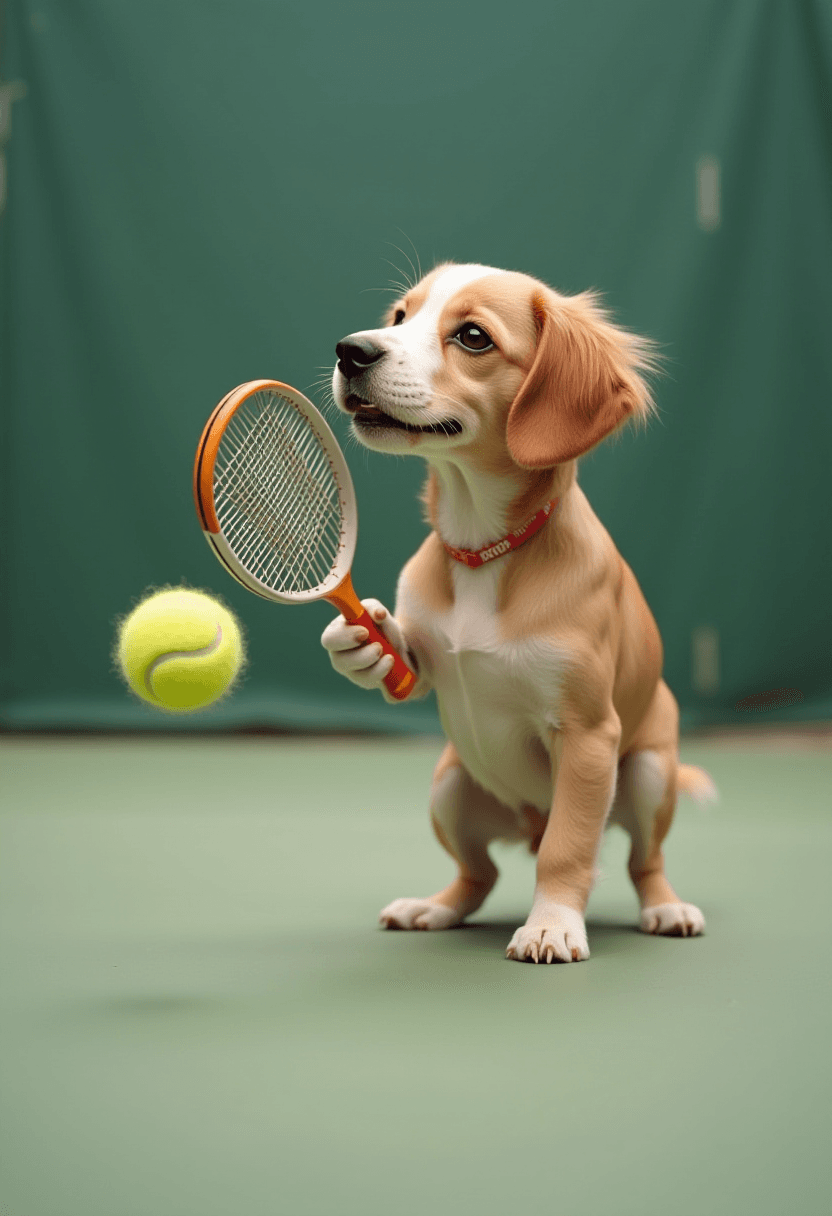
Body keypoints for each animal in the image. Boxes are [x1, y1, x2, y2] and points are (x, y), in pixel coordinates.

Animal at [318, 261, 715, 963]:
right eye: (400, 316)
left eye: (473, 337)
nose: (351, 350)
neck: (481, 551)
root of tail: (527, 822)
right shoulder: (427, 666)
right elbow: (401, 655)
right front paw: (360, 641)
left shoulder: (588, 736)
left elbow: (568, 851)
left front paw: (553, 922)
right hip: (450, 785)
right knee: (477, 874)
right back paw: (435, 906)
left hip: (644, 774)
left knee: (640, 862)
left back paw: (665, 907)